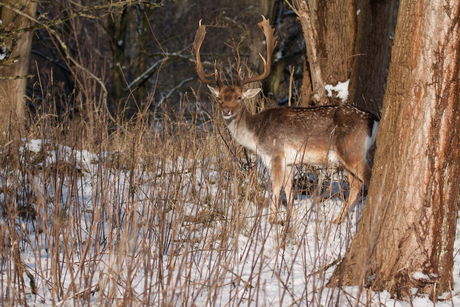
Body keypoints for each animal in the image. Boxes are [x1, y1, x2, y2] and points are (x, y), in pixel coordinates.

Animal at [193, 16, 378, 225]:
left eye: (239, 97)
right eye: (219, 98)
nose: (226, 111)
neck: (256, 135)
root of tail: (373, 118)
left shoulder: (277, 153)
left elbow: (276, 186)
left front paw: (272, 220)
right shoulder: (290, 161)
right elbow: (289, 187)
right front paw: (291, 217)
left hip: (352, 151)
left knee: (368, 178)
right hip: (344, 157)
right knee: (356, 184)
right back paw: (337, 220)